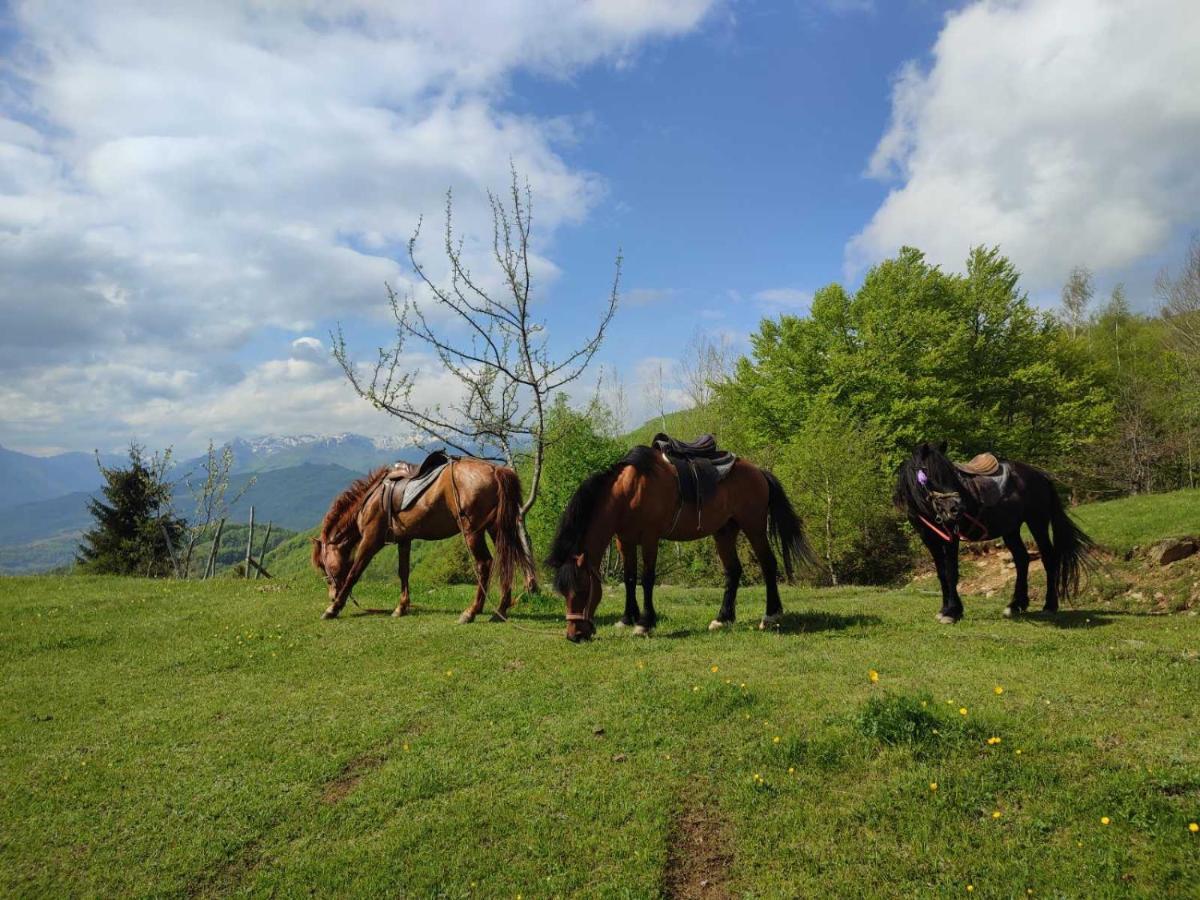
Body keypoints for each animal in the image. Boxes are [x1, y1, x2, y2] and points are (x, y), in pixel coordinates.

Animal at [309, 460, 535, 624]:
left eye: (323, 565)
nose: (331, 595)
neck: (372, 499)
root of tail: (495, 469)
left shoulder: (370, 542)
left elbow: (354, 573)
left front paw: (333, 609)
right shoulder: (404, 540)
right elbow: (403, 572)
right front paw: (401, 607)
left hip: (473, 532)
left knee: (484, 564)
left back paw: (471, 612)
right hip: (496, 528)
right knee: (507, 560)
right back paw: (500, 610)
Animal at [547, 444, 816, 643]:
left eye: (583, 590)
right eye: (563, 592)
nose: (574, 635)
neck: (629, 491)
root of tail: (759, 471)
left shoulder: (650, 537)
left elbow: (647, 579)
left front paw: (644, 623)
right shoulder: (624, 540)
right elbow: (629, 579)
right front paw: (627, 618)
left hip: (754, 526)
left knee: (768, 564)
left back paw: (770, 616)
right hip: (724, 531)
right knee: (733, 571)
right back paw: (723, 618)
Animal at [892, 444, 1099, 628]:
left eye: (951, 474)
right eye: (931, 476)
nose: (956, 509)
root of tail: (1040, 476)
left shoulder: (951, 536)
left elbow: (951, 573)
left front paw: (953, 612)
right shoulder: (929, 538)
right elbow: (942, 574)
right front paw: (945, 609)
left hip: (1037, 521)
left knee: (1048, 557)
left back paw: (1049, 605)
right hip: (1011, 529)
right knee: (1022, 559)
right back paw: (1016, 605)